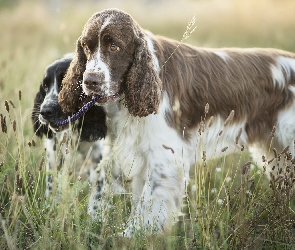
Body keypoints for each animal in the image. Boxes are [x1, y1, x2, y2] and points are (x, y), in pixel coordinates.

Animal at [59, 8, 295, 236]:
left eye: (114, 46)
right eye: (86, 47)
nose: (90, 81)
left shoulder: (164, 155)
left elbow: (149, 201)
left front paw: (134, 233)